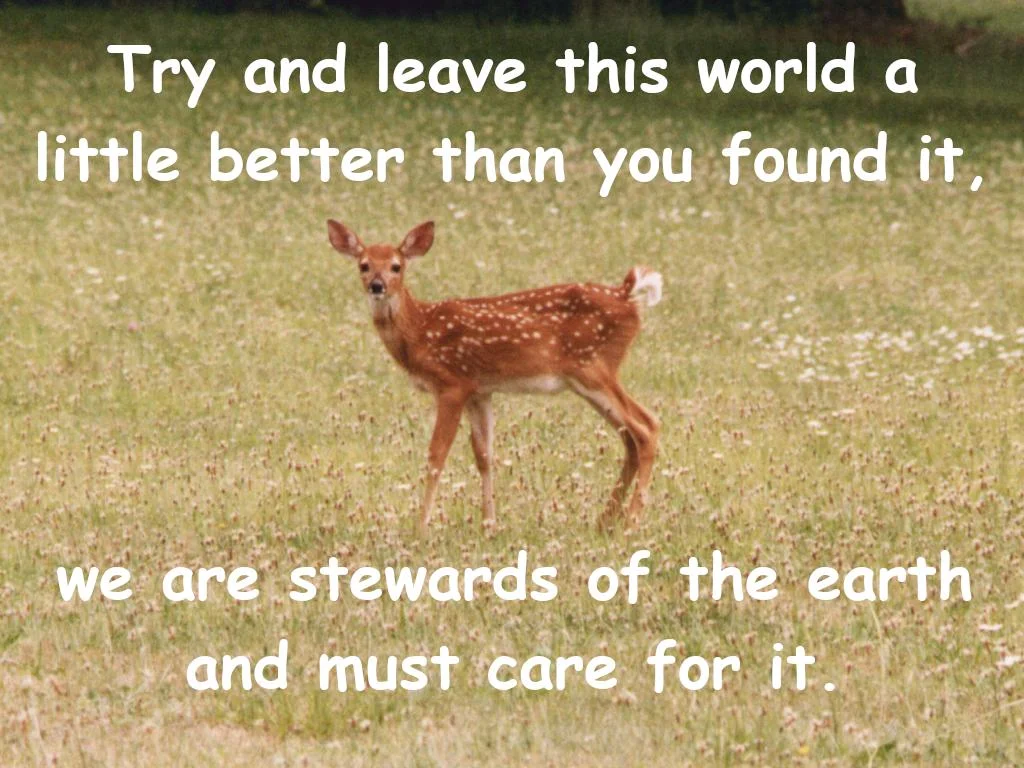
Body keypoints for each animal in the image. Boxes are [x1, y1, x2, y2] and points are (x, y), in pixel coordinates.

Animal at [327, 219, 662, 532]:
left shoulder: (451, 384)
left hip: (594, 368)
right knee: (630, 438)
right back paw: (605, 521)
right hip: (588, 378)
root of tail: (628, 295)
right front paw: (489, 524)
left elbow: (436, 456)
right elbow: (484, 456)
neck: (420, 331)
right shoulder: (480, 390)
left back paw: (631, 523)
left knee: (646, 426)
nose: (377, 285)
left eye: (396, 266)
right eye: (364, 265)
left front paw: (421, 527)